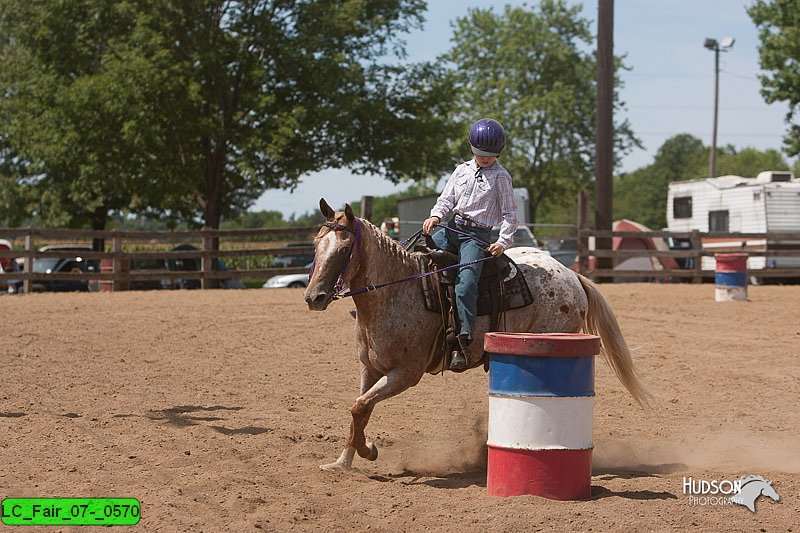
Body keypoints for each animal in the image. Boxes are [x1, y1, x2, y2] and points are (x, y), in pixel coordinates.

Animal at [306, 200, 648, 470]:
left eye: (345, 249)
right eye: (315, 245)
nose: (313, 297)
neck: (398, 291)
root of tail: (572, 275)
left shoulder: (405, 373)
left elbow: (360, 406)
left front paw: (369, 451)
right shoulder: (370, 368)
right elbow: (359, 409)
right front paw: (342, 462)